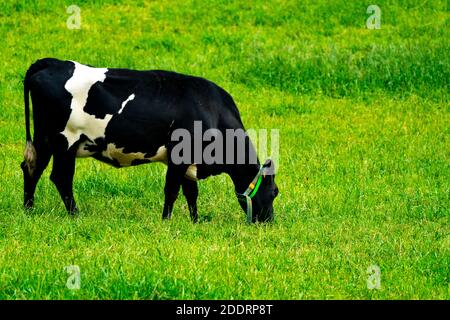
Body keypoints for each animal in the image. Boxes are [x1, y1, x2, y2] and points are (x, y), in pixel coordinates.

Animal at [21, 57, 278, 222]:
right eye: (275, 192)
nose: (268, 221)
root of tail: (52, 62)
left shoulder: (190, 161)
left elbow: (191, 192)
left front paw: (195, 220)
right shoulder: (179, 156)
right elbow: (172, 190)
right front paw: (166, 220)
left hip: (48, 140)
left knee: (32, 167)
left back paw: (29, 210)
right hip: (63, 140)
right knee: (59, 177)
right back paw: (75, 215)